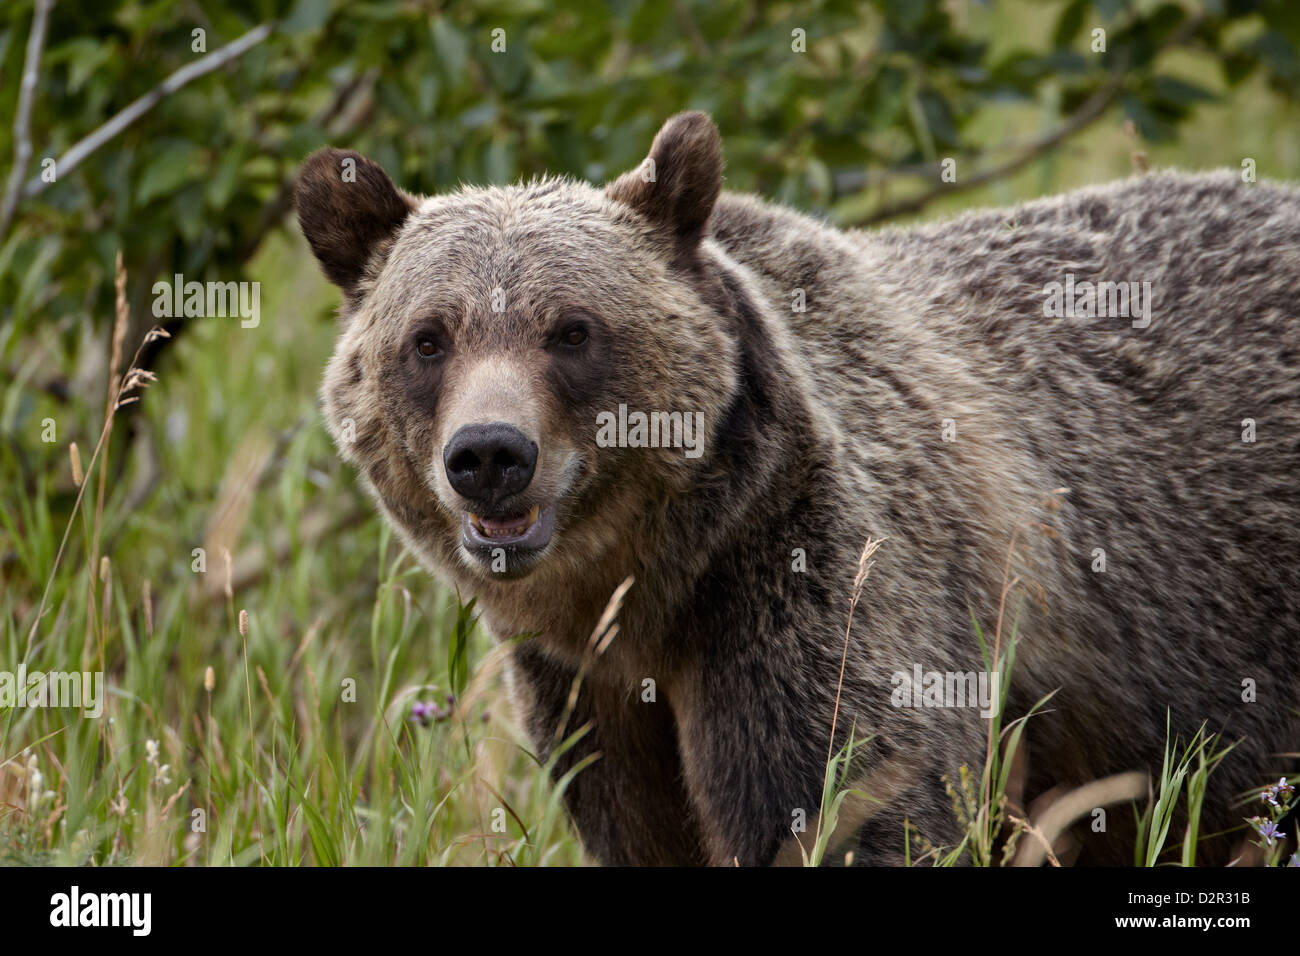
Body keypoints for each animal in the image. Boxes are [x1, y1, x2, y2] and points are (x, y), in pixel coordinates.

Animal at [299, 111, 1300, 868]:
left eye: (572, 329)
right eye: (429, 338)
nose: (489, 453)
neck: (647, 589)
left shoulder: (809, 586)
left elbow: (851, 806)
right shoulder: (588, 694)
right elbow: (640, 830)